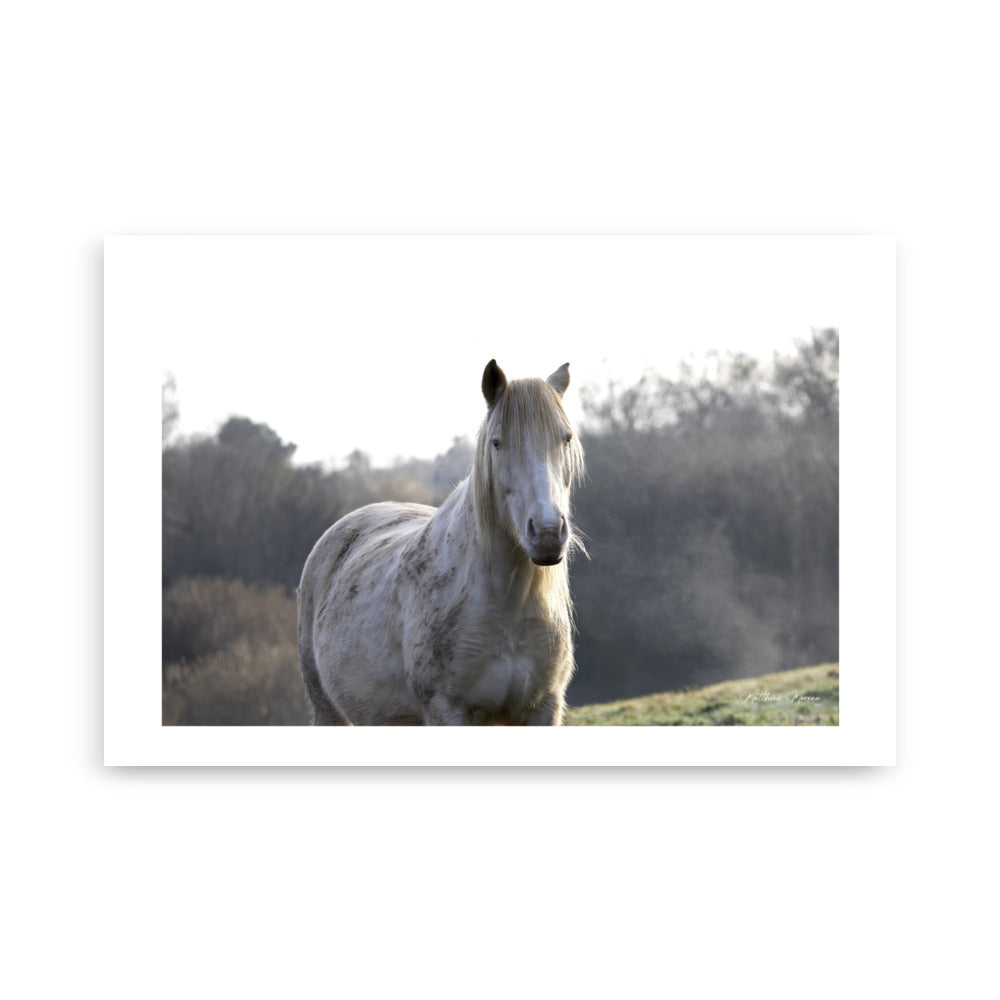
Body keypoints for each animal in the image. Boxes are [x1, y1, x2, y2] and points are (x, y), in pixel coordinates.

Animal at [300, 362, 588, 728]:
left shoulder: (543, 710)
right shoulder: (448, 711)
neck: (506, 610)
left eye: (566, 438)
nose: (547, 533)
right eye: (497, 443)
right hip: (329, 713)